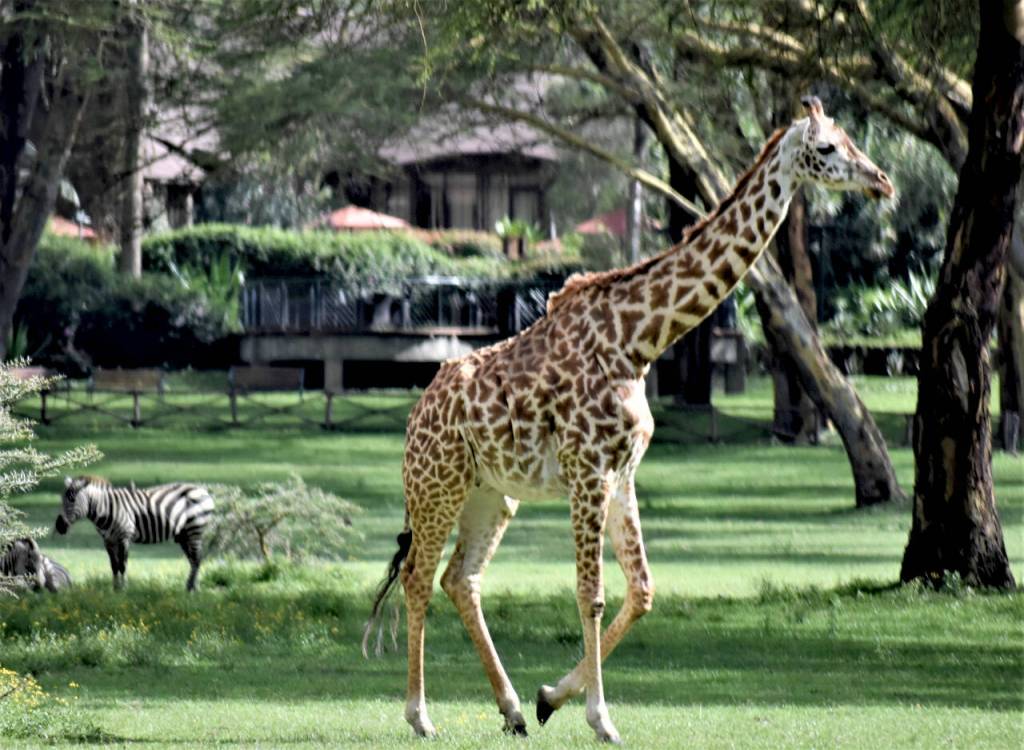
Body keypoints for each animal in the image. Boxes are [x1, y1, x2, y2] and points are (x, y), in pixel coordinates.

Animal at [55, 475, 215, 592]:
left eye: (72, 500)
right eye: (62, 499)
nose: (59, 526)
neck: (106, 509)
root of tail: (203, 491)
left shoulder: (124, 537)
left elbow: (122, 565)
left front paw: (123, 589)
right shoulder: (108, 541)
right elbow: (114, 566)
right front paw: (115, 589)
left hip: (195, 530)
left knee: (196, 559)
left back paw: (192, 589)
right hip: (184, 535)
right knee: (193, 560)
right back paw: (192, 587)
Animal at [363, 96, 894, 743]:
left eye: (850, 139)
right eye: (827, 148)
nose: (882, 181)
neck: (639, 341)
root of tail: (417, 413)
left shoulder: (623, 473)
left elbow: (642, 590)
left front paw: (550, 697)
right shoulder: (588, 471)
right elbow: (589, 592)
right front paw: (601, 718)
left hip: (491, 495)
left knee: (459, 579)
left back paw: (512, 710)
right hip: (437, 487)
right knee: (418, 578)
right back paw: (420, 716)